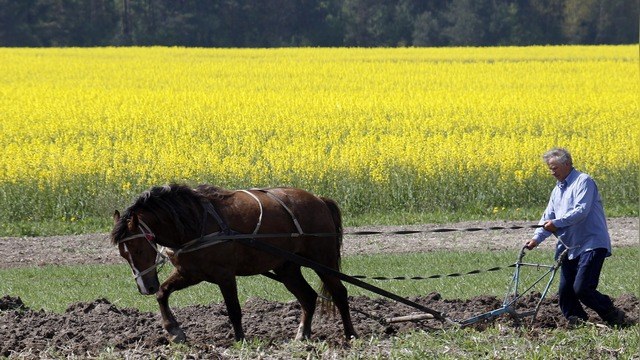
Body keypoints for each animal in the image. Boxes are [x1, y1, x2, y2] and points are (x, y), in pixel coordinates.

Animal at [112, 184, 358, 344]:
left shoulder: (225, 275)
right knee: (308, 297)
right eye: (123, 254)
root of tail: (319, 199)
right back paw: (302, 336)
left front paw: (240, 340)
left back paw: (351, 335)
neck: (196, 222)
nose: (145, 287)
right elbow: (163, 293)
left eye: (138, 248)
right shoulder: (190, 273)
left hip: (322, 260)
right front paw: (174, 332)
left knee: (339, 293)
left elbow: (233, 309)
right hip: (287, 267)